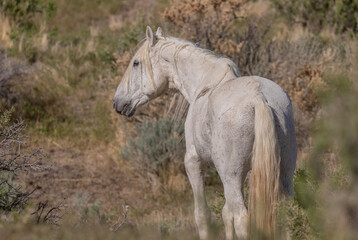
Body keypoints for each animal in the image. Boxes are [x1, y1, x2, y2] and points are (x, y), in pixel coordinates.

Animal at [112, 27, 296, 239]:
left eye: (135, 63)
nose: (117, 102)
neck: (205, 84)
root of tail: (259, 99)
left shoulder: (193, 162)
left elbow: (203, 215)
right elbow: (226, 213)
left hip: (232, 176)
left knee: (242, 218)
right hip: (283, 174)